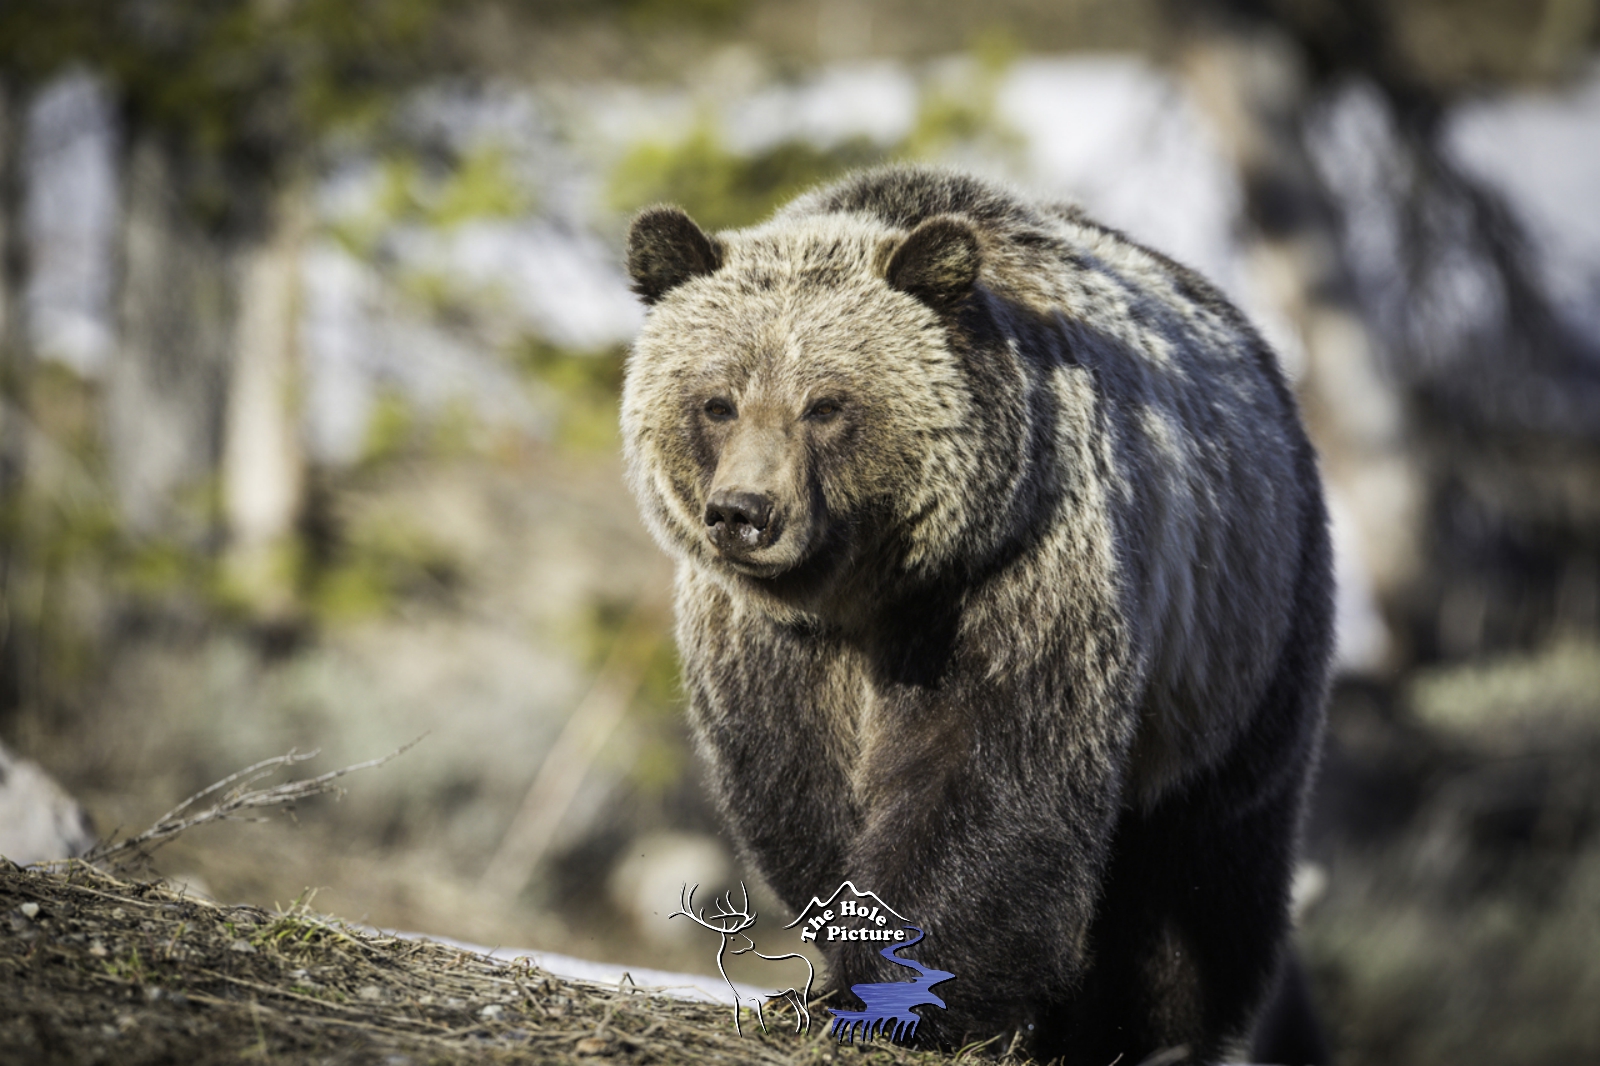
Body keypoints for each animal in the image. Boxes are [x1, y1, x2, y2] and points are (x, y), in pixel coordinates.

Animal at [620, 164, 1333, 1065]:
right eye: (717, 401)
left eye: (825, 403)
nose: (745, 513)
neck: (870, 587)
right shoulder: (766, 640)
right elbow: (799, 785)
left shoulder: (1014, 578)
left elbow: (988, 772)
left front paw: (920, 995)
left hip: (1242, 638)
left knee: (1202, 859)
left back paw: (1148, 1031)